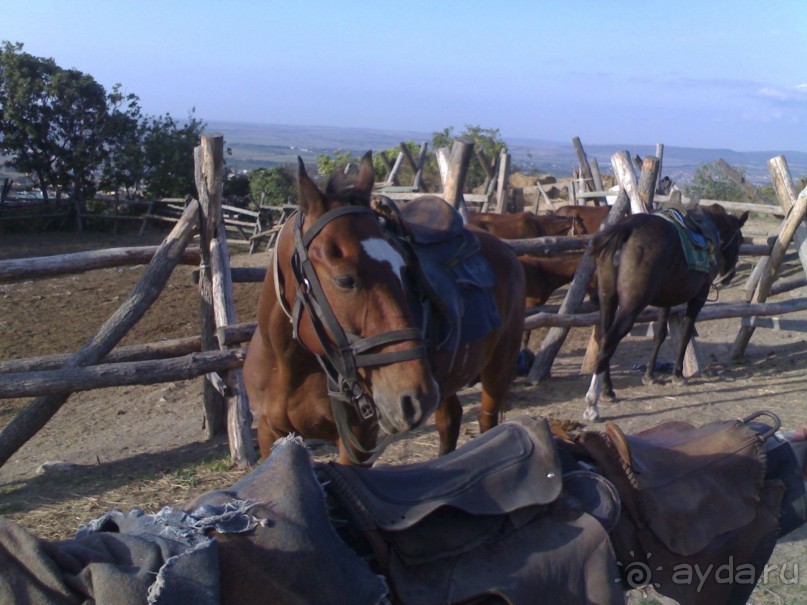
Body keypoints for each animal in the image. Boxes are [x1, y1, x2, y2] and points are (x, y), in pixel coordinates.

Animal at [243, 152, 528, 462]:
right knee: (450, 419)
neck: (288, 365)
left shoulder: (358, 441)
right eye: (345, 280)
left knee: (488, 422)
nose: (414, 397)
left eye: (405, 271)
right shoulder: (269, 434)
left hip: (496, 369)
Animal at [584, 203, 748, 420]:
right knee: (610, 340)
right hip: (631, 305)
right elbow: (686, 334)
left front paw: (649, 375)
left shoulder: (666, 300)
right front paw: (677, 375)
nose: (730, 275)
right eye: (740, 240)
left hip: (608, 300)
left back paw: (608, 391)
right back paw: (592, 404)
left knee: (603, 337)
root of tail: (627, 228)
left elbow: (660, 335)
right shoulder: (699, 297)